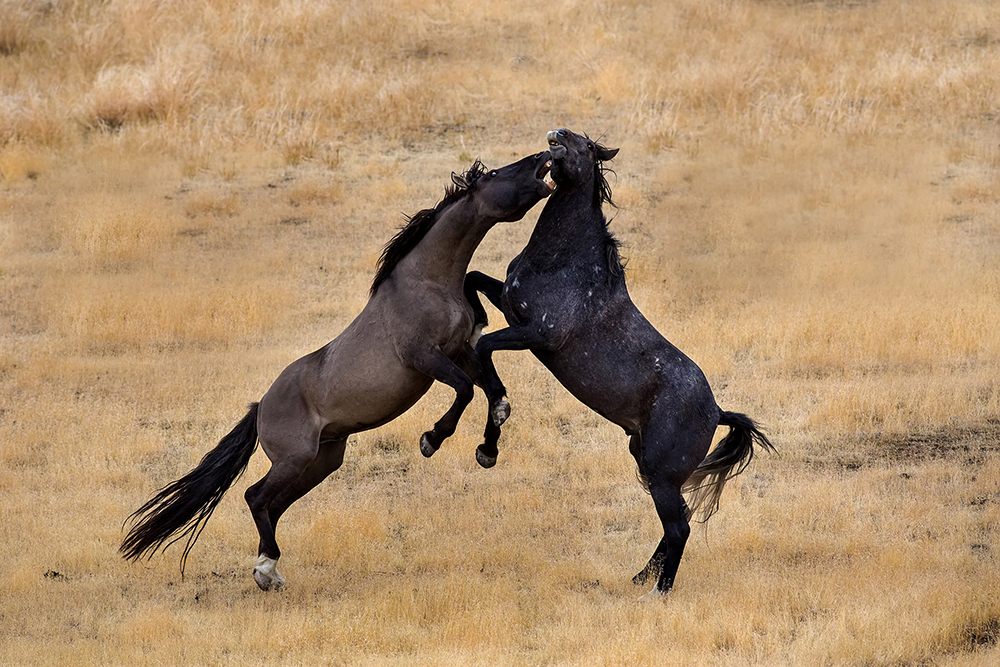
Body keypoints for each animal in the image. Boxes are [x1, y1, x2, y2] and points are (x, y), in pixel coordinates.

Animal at [120, 151, 555, 590]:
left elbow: (491, 389)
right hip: (296, 459)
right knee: (255, 497)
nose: (543, 156)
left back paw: (268, 570)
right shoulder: (425, 358)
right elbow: (466, 389)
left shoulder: (458, 350)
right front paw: (431, 440)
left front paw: (488, 449)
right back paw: (267, 569)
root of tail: (260, 407)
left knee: (273, 506)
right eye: (496, 173)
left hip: (322, 461)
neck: (428, 282)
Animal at [464, 128, 775, 597]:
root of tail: (717, 411)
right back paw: (640, 576)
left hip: (660, 475)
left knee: (680, 527)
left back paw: (657, 591)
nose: (556, 135)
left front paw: (490, 441)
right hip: (646, 464)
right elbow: (473, 281)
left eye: (588, 146)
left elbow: (484, 349)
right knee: (675, 523)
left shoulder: (538, 334)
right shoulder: (511, 307)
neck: (565, 261)